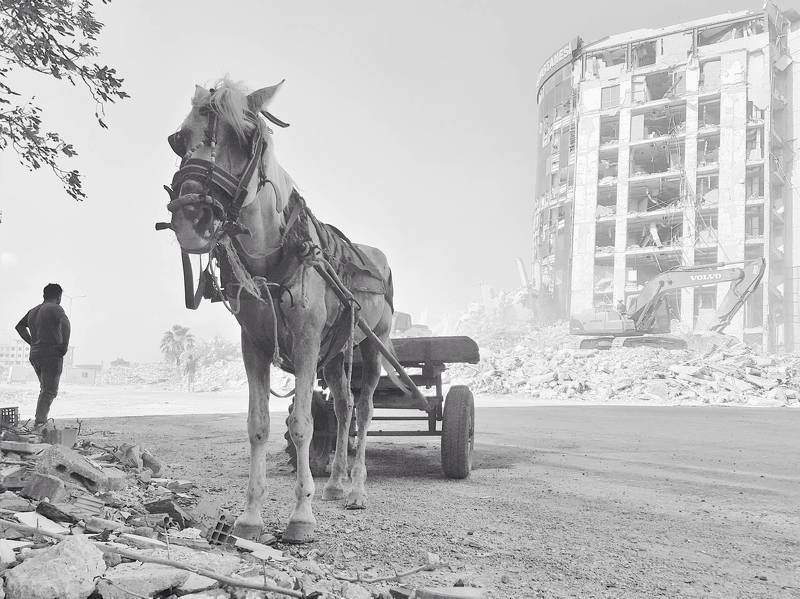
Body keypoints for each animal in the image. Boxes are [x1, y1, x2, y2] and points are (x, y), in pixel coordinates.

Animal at [161, 78, 415, 543]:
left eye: (246, 138)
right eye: (179, 139)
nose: (192, 218)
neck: (275, 256)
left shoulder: (306, 342)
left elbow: (301, 424)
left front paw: (301, 516)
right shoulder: (255, 345)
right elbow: (258, 425)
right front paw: (250, 518)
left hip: (374, 345)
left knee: (364, 409)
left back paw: (356, 489)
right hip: (335, 353)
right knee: (343, 408)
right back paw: (335, 483)